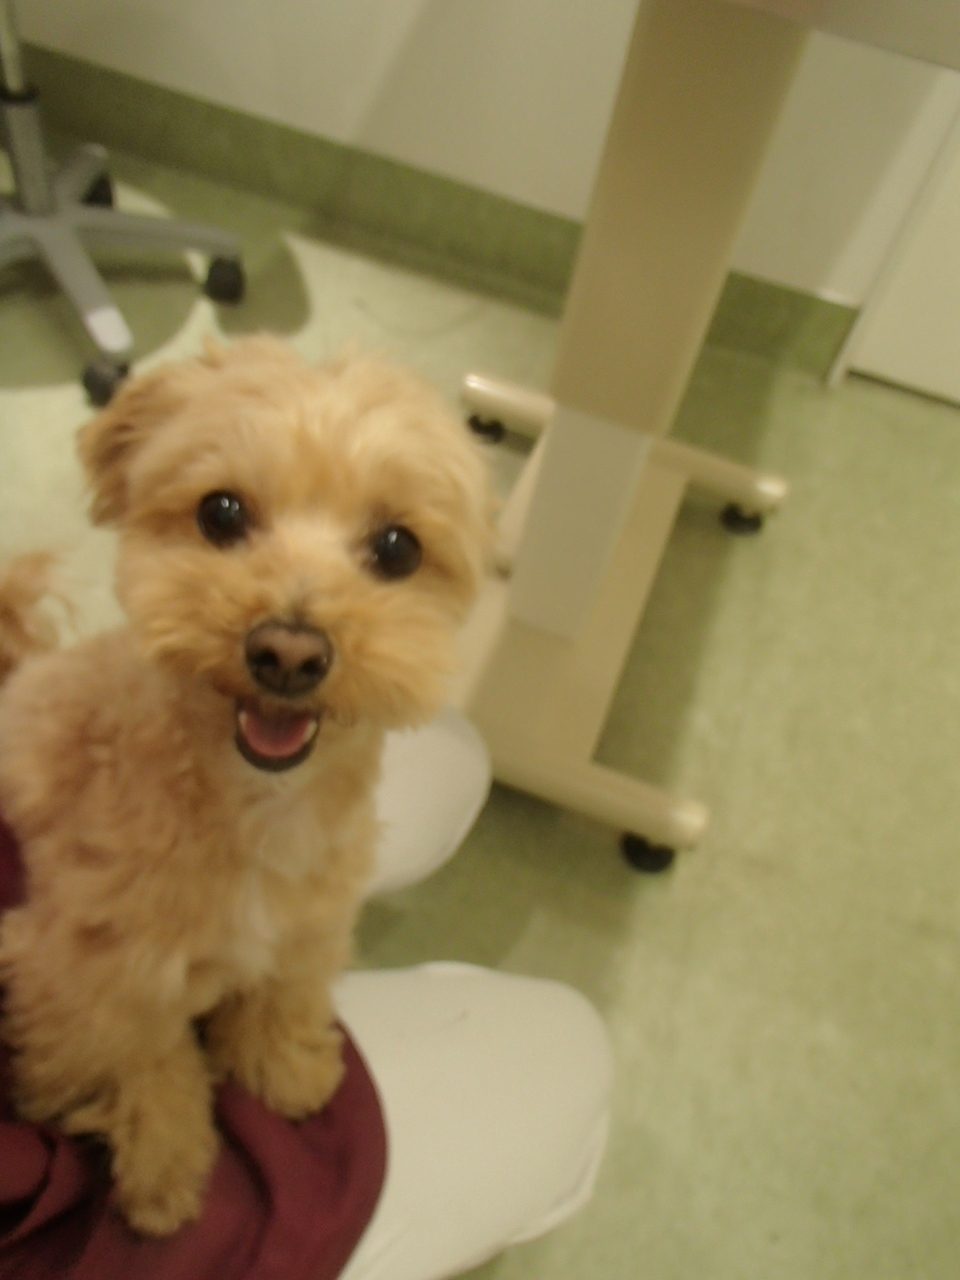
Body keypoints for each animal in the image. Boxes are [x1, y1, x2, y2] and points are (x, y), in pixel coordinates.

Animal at [0, 336, 492, 1236]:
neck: (258, 811)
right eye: (221, 513)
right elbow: (137, 1059)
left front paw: (284, 1066)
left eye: (398, 548)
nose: (288, 652)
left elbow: (284, 993)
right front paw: (163, 1165)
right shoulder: (86, 973)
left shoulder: (309, 925)